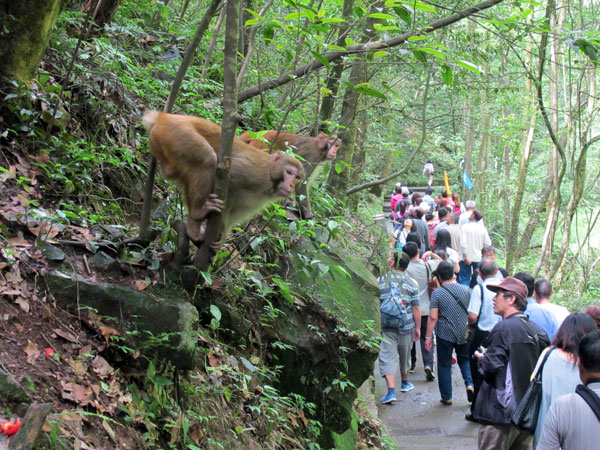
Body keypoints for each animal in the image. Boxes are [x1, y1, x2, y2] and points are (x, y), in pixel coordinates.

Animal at [142, 111, 304, 246]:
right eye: (289, 172)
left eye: (297, 177)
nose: (291, 185)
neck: (271, 175)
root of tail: (163, 116)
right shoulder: (257, 173)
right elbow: (231, 178)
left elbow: (235, 215)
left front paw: (223, 234)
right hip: (176, 133)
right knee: (207, 159)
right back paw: (198, 214)